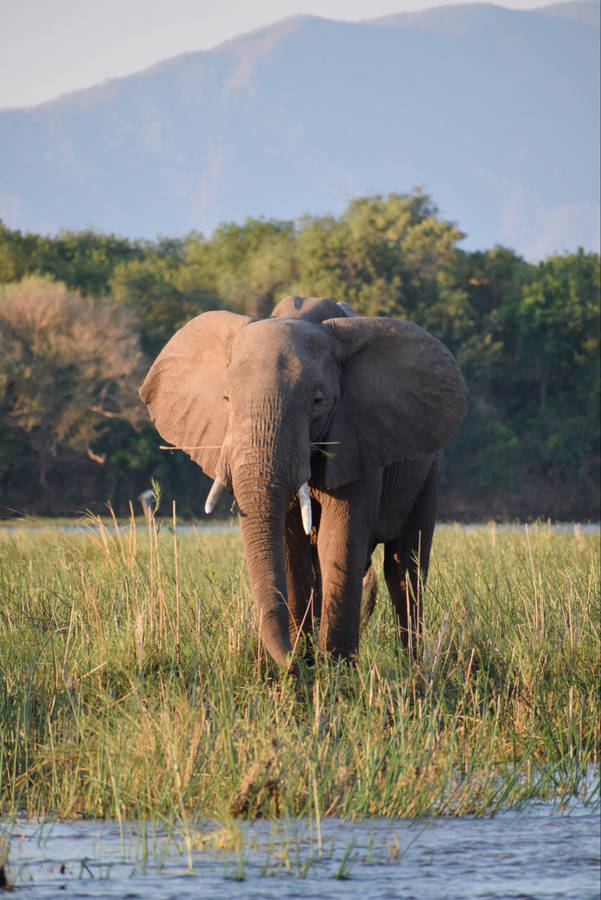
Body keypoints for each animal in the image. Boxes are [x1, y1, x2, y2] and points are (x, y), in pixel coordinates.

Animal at [139, 296, 467, 670]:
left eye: (317, 402)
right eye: (226, 400)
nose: (288, 663)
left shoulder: (357, 438)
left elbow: (338, 541)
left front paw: (338, 668)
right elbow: (292, 547)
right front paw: (306, 661)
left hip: (430, 466)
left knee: (405, 566)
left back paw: (412, 666)